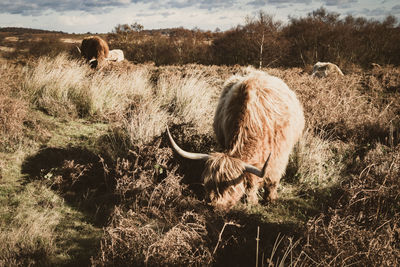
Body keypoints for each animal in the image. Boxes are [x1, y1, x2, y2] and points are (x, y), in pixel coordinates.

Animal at [167, 69, 304, 211]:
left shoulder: (278, 156)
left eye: (230, 188)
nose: (214, 205)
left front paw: (265, 200)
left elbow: (267, 180)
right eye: (208, 184)